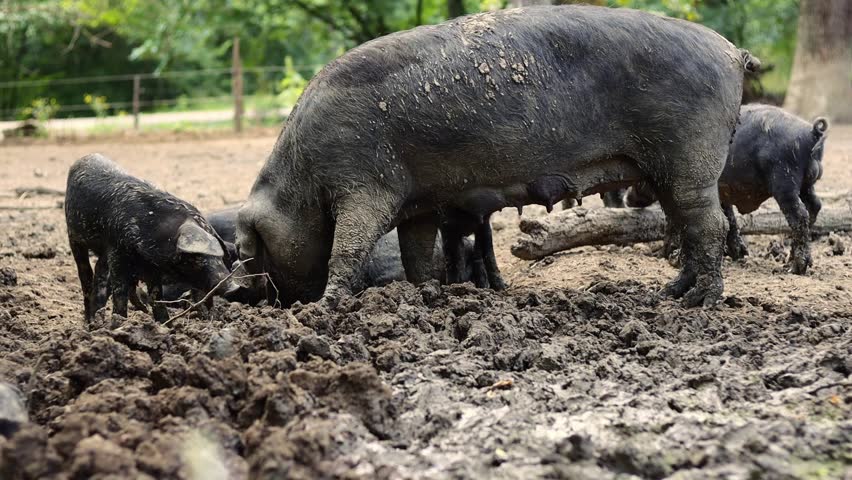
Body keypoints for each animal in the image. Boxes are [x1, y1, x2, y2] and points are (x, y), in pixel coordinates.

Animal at [65, 154, 239, 322]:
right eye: (196, 257)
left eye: (220, 256)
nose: (234, 287)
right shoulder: (117, 250)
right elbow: (120, 290)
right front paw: (119, 323)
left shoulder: (151, 265)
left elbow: (156, 294)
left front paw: (166, 324)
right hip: (74, 236)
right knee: (85, 274)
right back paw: (89, 322)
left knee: (99, 273)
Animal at [236, 6, 758, 308]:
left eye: (254, 245)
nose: (254, 297)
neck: (301, 176)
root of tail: (730, 51)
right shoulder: (416, 201)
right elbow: (415, 251)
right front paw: (424, 296)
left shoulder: (364, 186)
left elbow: (347, 247)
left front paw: (324, 309)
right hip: (666, 169)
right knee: (687, 225)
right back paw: (672, 292)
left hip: (691, 153)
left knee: (707, 225)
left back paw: (700, 305)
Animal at [626, 104, 829, 274]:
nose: (627, 199)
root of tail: (812, 133)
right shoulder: (721, 193)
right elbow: (729, 218)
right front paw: (738, 254)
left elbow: (674, 222)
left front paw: (663, 256)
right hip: (807, 185)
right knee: (815, 205)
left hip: (785, 182)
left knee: (800, 215)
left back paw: (793, 268)